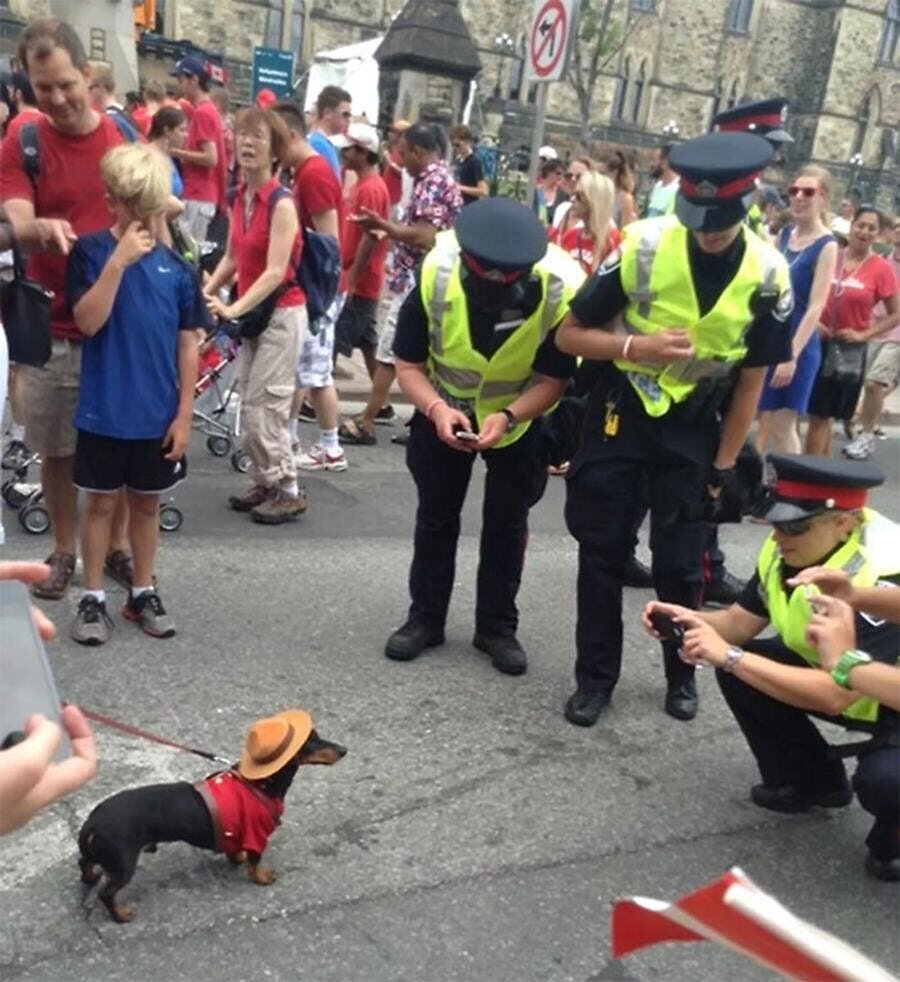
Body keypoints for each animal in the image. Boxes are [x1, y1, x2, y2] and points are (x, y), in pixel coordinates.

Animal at [78, 712, 344, 928]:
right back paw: (121, 915)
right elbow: (255, 862)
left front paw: (238, 859)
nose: (344, 750)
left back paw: (90, 878)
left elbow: (236, 852)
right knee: (106, 893)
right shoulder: (257, 834)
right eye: (311, 741)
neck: (259, 783)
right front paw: (261, 878)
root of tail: (94, 821)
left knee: (85, 862)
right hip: (124, 863)